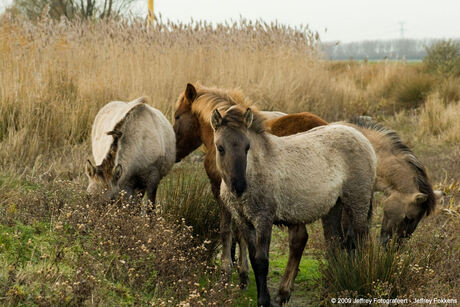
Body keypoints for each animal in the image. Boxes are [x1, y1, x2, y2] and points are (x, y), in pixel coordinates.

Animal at [212, 105, 378, 306]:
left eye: (247, 147)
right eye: (220, 148)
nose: (239, 187)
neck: (255, 167)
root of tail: (361, 137)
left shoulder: (263, 219)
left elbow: (262, 261)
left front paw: (264, 300)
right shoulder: (244, 221)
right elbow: (253, 258)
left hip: (357, 202)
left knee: (361, 241)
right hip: (333, 208)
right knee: (334, 244)